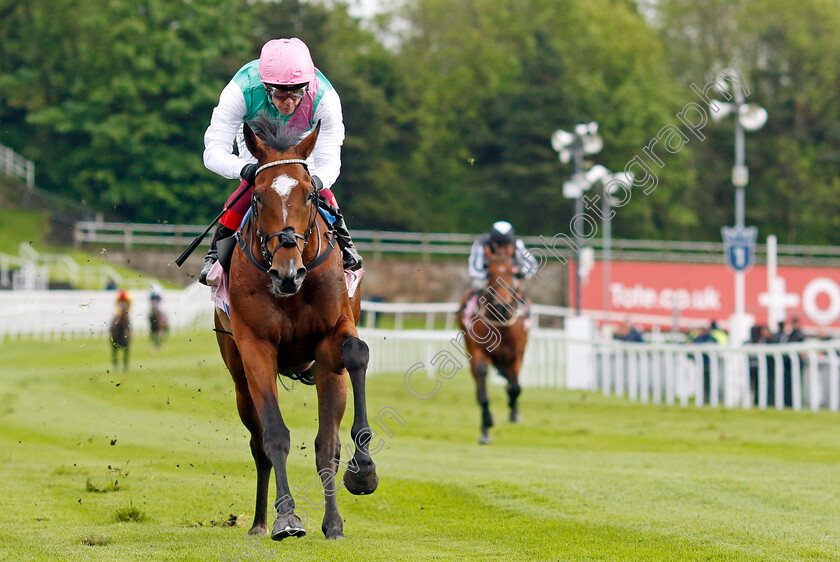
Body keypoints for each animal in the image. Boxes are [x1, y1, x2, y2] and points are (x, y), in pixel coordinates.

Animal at [456, 241, 528, 442]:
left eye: (513, 273)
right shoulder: (478, 352)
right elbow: (482, 392)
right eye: (489, 271)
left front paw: (514, 412)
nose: (501, 306)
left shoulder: (516, 354)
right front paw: (486, 424)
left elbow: (515, 388)